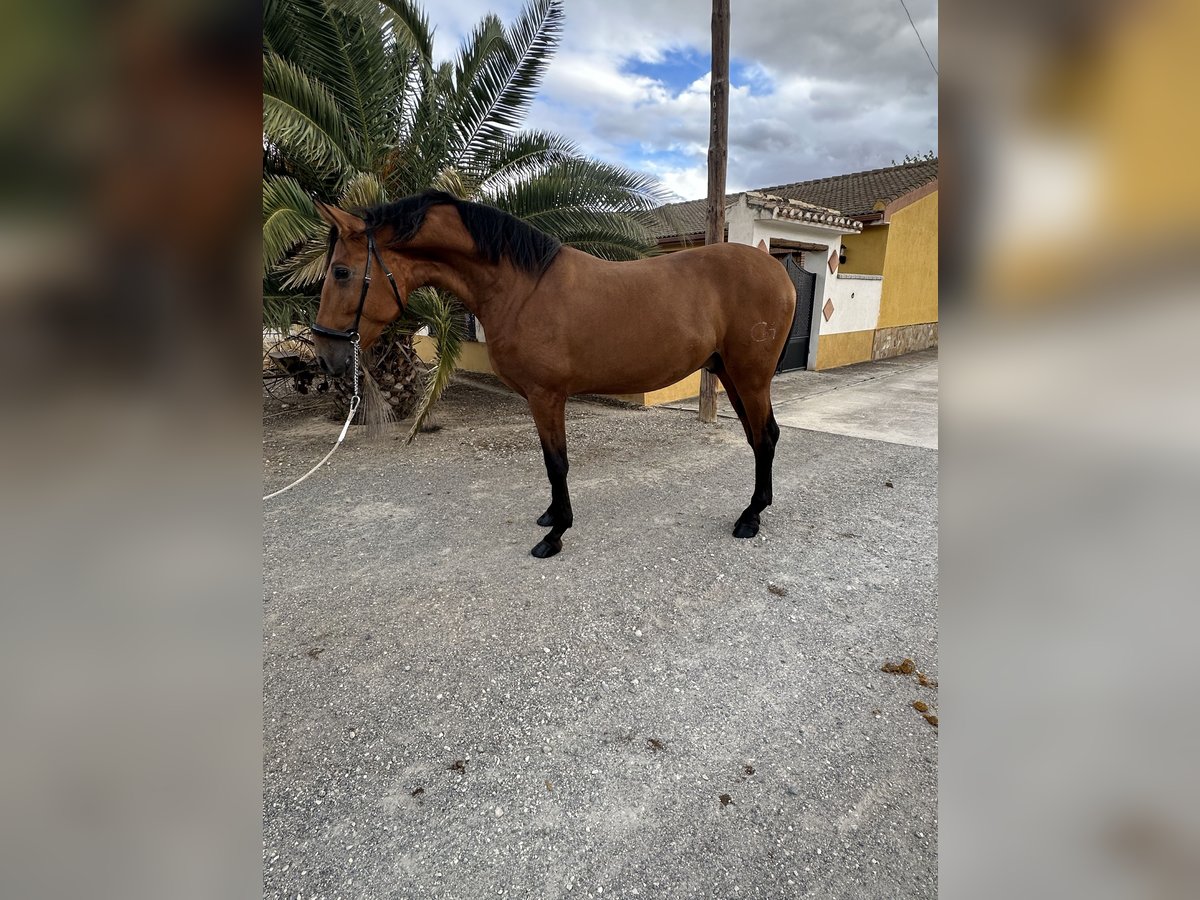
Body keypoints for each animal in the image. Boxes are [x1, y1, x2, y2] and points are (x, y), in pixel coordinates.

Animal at [309, 190, 796, 556]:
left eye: (342, 271)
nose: (328, 355)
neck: (522, 288)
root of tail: (776, 267)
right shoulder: (537, 398)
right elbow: (550, 463)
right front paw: (551, 517)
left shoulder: (547, 396)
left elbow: (556, 463)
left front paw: (556, 534)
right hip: (730, 374)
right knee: (758, 437)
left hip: (750, 377)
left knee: (765, 438)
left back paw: (750, 517)